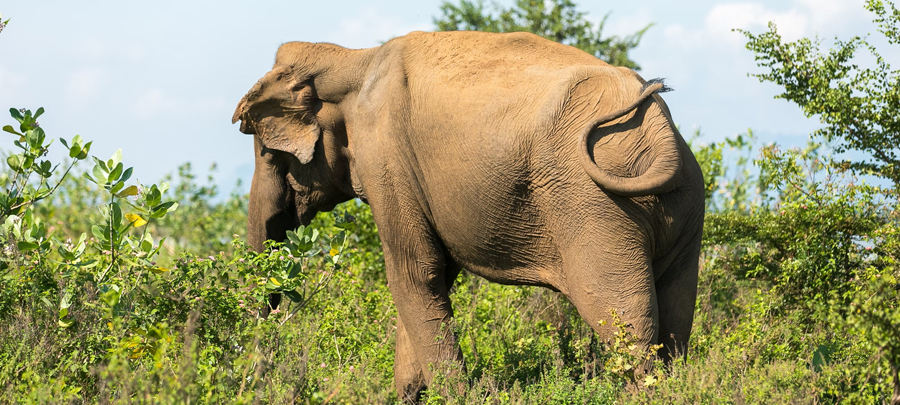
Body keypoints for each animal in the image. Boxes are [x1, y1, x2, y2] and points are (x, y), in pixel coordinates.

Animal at [234, 30, 712, 400]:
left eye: (265, 150)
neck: (352, 58)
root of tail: (659, 131)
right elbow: (433, 276)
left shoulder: (386, 156)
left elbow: (413, 272)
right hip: (683, 200)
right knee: (675, 314)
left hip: (594, 205)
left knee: (621, 315)